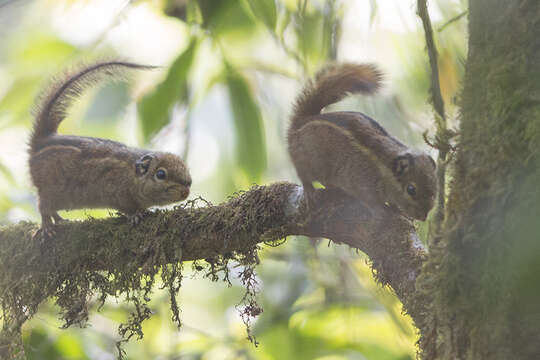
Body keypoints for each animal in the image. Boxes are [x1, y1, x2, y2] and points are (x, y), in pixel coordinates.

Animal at [29, 60, 192, 240]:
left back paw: (60, 220)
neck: (132, 174)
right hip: (49, 189)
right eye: (161, 174)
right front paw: (135, 215)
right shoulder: (116, 192)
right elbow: (126, 207)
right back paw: (47, 226)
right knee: (43, 206)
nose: (186, 192)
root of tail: (41, 141)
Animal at [288, 63, 436, 221]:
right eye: (411, 189)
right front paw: (380, 209)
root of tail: (301, 122)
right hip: (310, 160)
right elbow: (368, 199)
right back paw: (309, 191)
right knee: (302, 174)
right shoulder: (361, 182)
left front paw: (397, 209)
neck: (384, 168)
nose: (423, 217)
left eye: (435, 187)